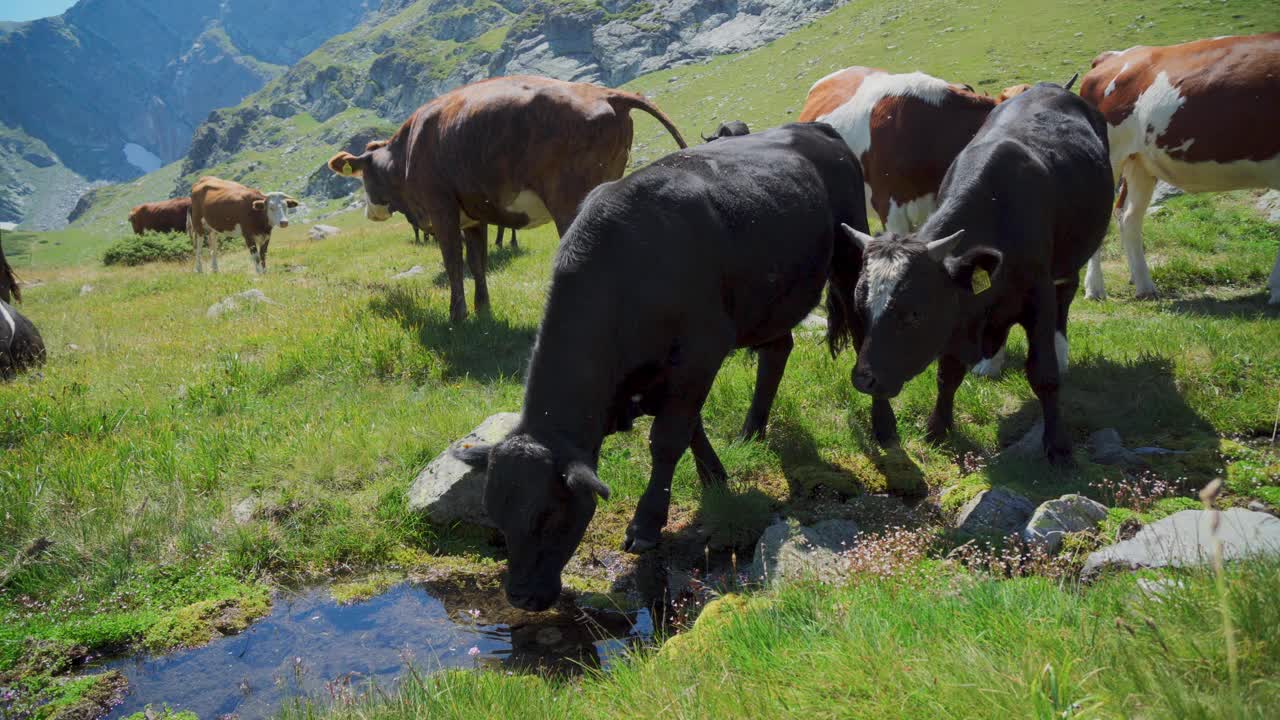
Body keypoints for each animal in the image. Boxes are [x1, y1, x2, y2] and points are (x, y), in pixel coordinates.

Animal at [453, 126, 870, 607]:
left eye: (548, 516)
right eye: (496, 517)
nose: (520, 597)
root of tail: (816, 129)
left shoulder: (701, 350)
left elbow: (668, 438)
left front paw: (647, 523)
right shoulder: (664, 373)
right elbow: (690, 428)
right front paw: (716, 477)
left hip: (850, 258)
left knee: (862, 332)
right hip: (767, 302)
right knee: (778, 349)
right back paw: (751, 431)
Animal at [839, 83, 1111, 461]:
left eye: (914, 314)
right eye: (860, 308)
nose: (864, 379)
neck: (1000, 210)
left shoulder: (1037, 295)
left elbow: (1043, 374)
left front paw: (1057, 445)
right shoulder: (959, 312)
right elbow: (948, 373)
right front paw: (938, 428)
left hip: (1069, 260)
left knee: (1066, 295)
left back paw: (1060, 350)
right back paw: (991, 362)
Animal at [1080, 32, 1280, 302]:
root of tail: (1114, 57)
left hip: (1139, 162)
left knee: (1129, 216)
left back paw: (1144, 286)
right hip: (1110, 156)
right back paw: (1095, 288)